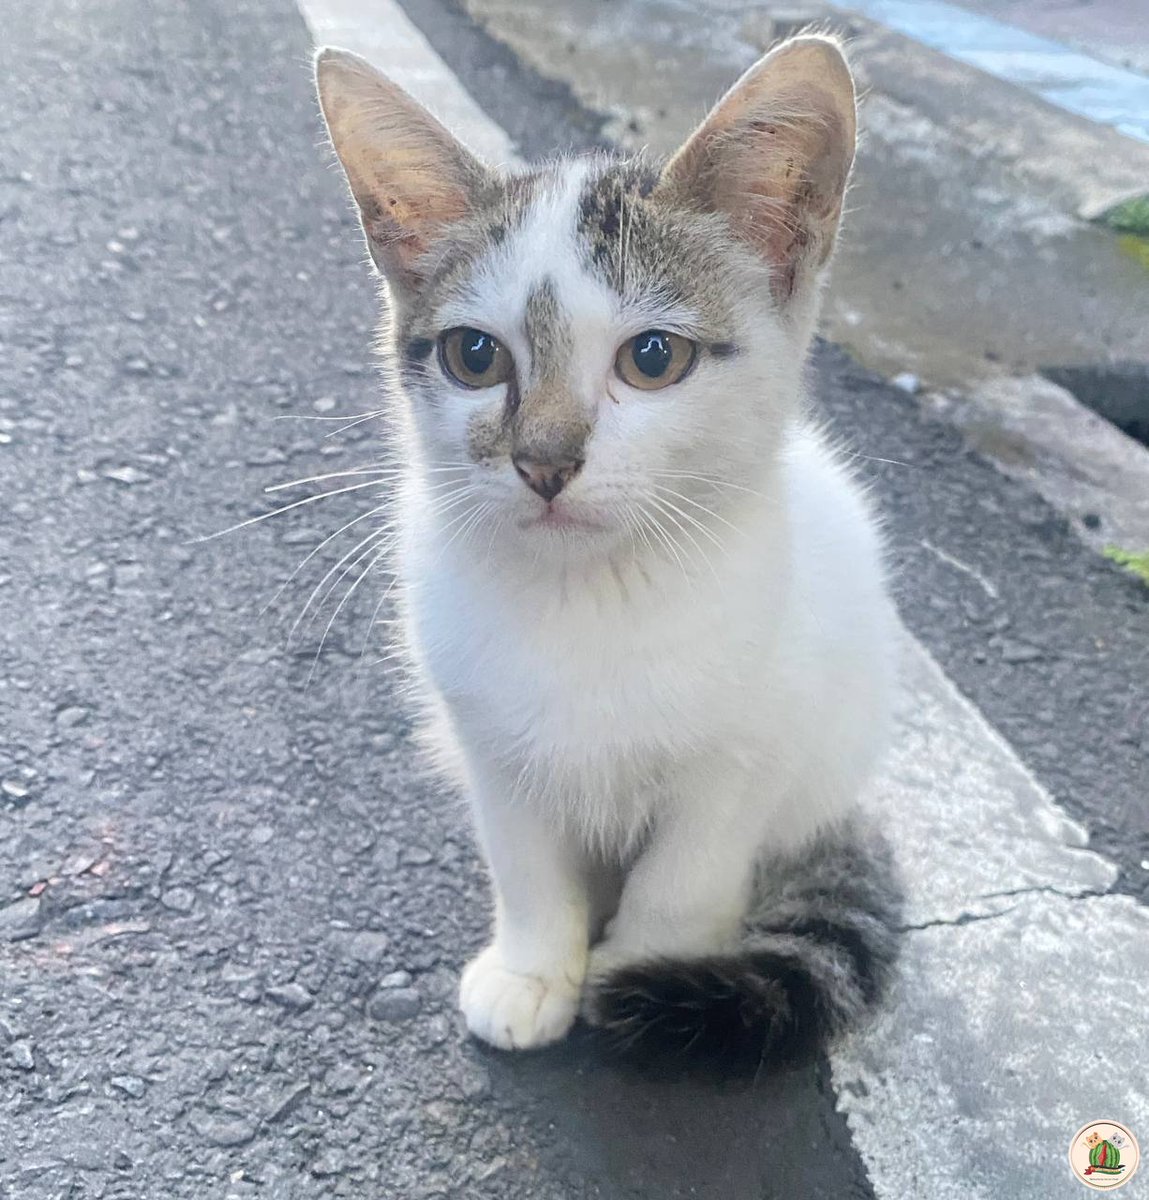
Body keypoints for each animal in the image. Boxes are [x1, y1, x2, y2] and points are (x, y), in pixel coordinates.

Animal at [316, 32, 906, 1056]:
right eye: (474, 356)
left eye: (654, 358)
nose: (544, 461)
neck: (590, 596)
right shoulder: (489, 743)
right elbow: (526, 866)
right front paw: (532, 972)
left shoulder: (741, 760)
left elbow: (682, 880)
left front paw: (646, 969)